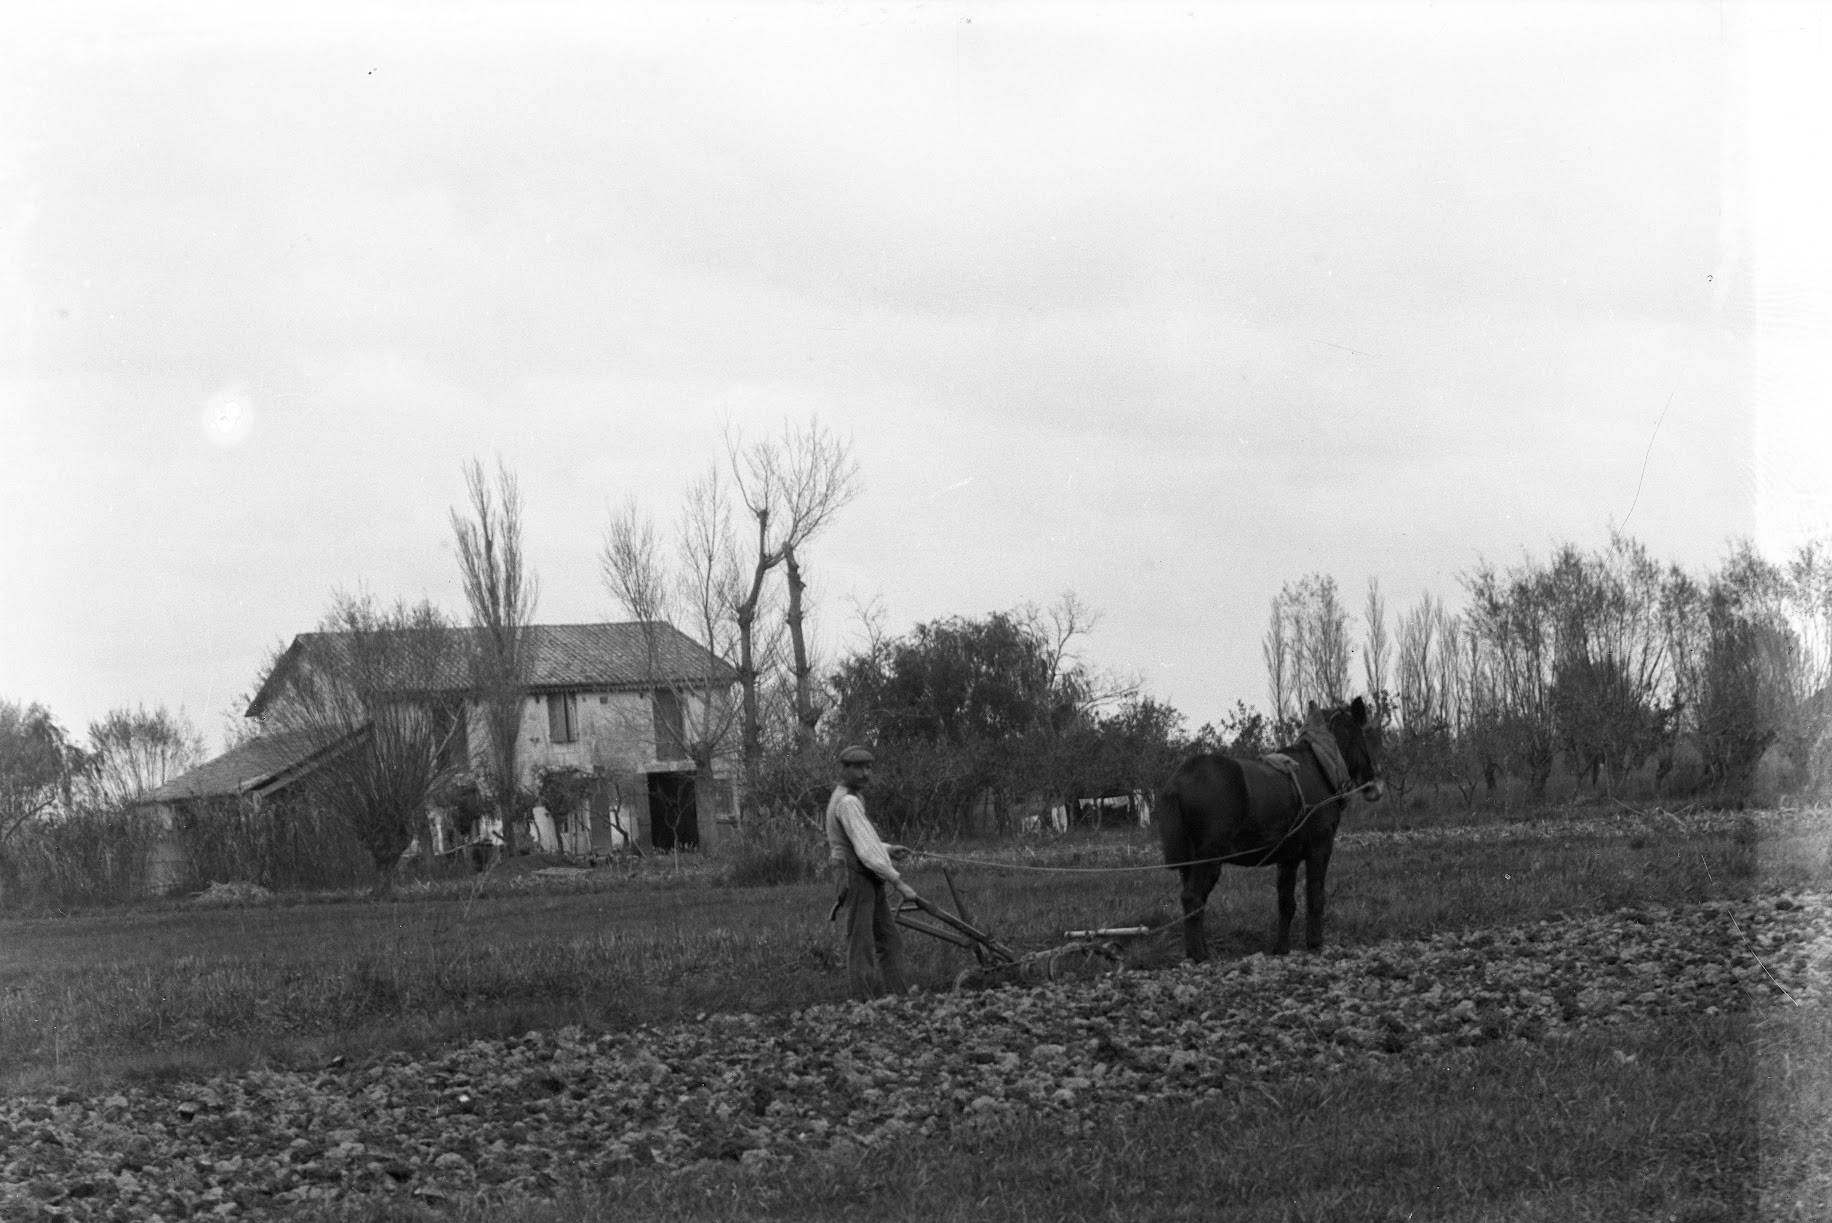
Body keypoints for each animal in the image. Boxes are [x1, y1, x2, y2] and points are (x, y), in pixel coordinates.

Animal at [1165, 703, 1377, 959]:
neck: (1324, 766)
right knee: (1193, 897)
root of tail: (1176, 785)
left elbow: (1286, 902)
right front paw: (1315, 943)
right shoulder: (1321, 845)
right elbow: (1316, 895)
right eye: (1362, 736)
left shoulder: (1289, 857)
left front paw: (1281, 948)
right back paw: (1200, 955)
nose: (1372, 779)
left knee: (1193, 900)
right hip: (1209, 857)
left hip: (1188, 861)